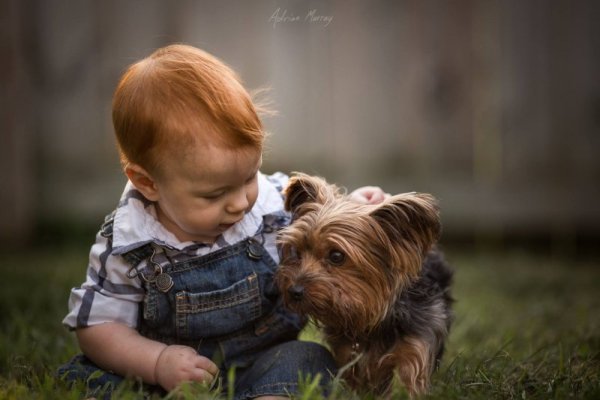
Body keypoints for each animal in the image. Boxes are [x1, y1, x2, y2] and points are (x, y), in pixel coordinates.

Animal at [274, 173, 452, 396]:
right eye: (297, 252)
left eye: (336, 256)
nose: (294, 291)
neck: (373, 320)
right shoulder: (349, 354)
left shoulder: (416, 345)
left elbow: (410, 380)